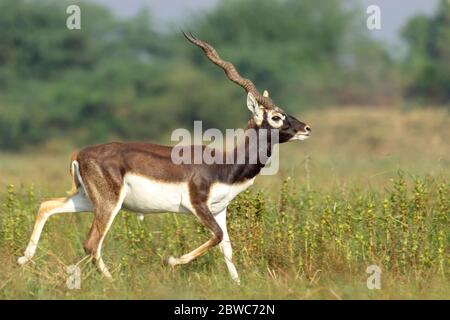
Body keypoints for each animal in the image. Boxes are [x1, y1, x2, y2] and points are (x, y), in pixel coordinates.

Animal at [18, 31, 312, 282]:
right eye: (276, 117)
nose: (306, 128)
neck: (224, 164)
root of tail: (80, 153)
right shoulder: (198, 205)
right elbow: (216, 238)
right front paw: (171, 261)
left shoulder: (220, 210)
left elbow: (227, 248)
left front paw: (238, 285)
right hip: (109, 203)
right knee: (91, 243)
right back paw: (113, 282)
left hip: (88, 199)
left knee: (47, 205)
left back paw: (24, 259)